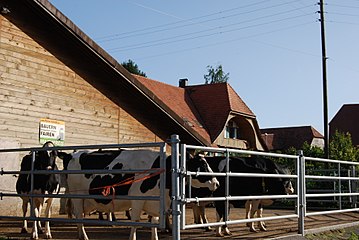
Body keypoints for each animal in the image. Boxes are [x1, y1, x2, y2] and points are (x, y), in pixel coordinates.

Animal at [63, 149, 219, 240]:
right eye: (203, 165)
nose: (217, 183)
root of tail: (73, 154)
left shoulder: (156, 200)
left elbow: (155, 222)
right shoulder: (137, 199)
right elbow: (136, 222)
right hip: (78, 196)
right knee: (78, 215)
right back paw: (83, 236)